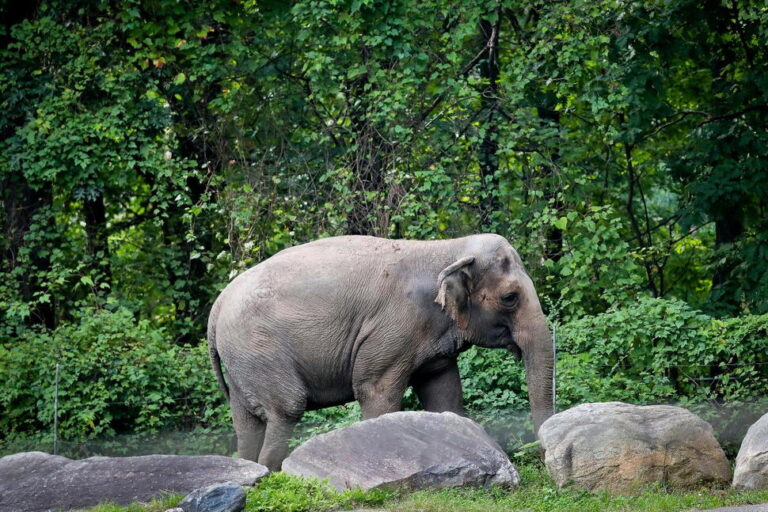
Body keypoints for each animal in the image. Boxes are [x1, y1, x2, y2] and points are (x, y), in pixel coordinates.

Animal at [207, 234, 554, 471]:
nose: (539, 455)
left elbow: (444, 394)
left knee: (246, 422)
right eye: (510, 298)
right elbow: (376, 391)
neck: (447, 249)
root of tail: (218, 305)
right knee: (286, 408)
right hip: (258, 348)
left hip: (242, 360)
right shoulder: (393, 329)